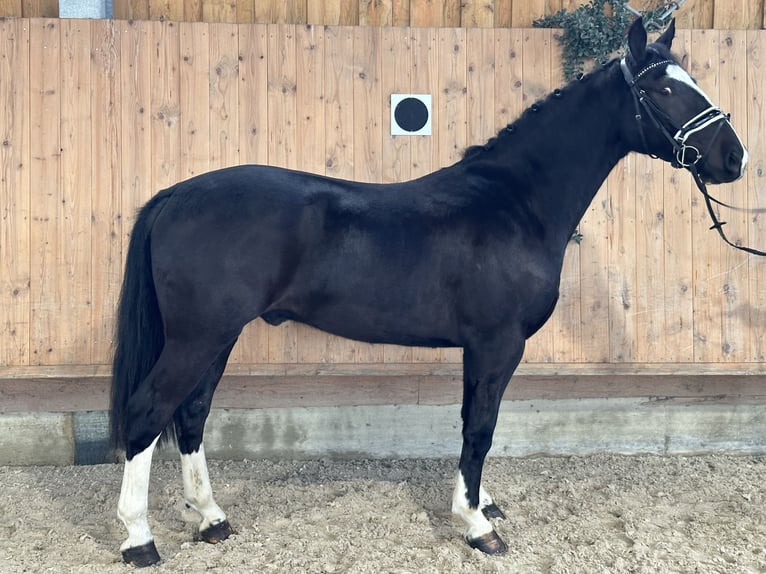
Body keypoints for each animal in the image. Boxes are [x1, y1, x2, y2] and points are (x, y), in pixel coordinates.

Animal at [111, 18, 748, 568]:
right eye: (665, 88)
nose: (734, 157)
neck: (515, 202)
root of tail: (176, 194)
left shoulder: (482, 349)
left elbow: (475, 421)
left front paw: (481, 504)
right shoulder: (497, 344)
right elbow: (481, 427)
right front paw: (477, 525)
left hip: (217, 337)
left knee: (191, 413)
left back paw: (211, 519)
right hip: (199, 336)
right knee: (148, 412)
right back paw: (140, 539)